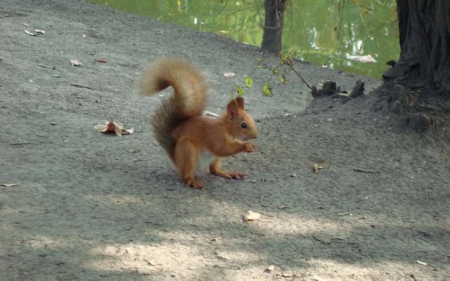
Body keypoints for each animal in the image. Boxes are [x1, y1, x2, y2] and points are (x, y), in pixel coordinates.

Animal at [137, 57, 258, 188]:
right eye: (243, 125)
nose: (256, 136)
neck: (226, 129)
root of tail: (177, 161)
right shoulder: (215, 137)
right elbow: (222, 149)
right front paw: (245, 146)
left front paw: (251, 145)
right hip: (188, 152)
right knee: (186, 176)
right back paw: (192, 181)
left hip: (215, 159)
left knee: (213, 170)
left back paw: (226, 173)